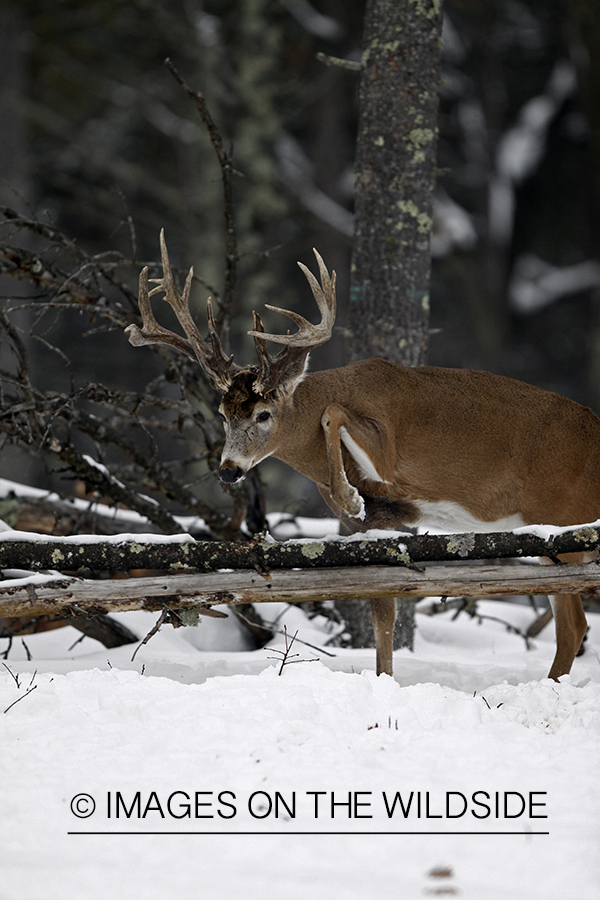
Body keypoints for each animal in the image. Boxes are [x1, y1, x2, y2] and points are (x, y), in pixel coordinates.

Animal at [125, 232, 596, 684]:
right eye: (222, 414)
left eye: (263, 414)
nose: (228, 470)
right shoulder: (383, 523)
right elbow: (382, 612)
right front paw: (384, 680)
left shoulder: (386, 444)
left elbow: (334, 416)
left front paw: (350, 495)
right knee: (573, 623)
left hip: (562, 517)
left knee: (575, 624)